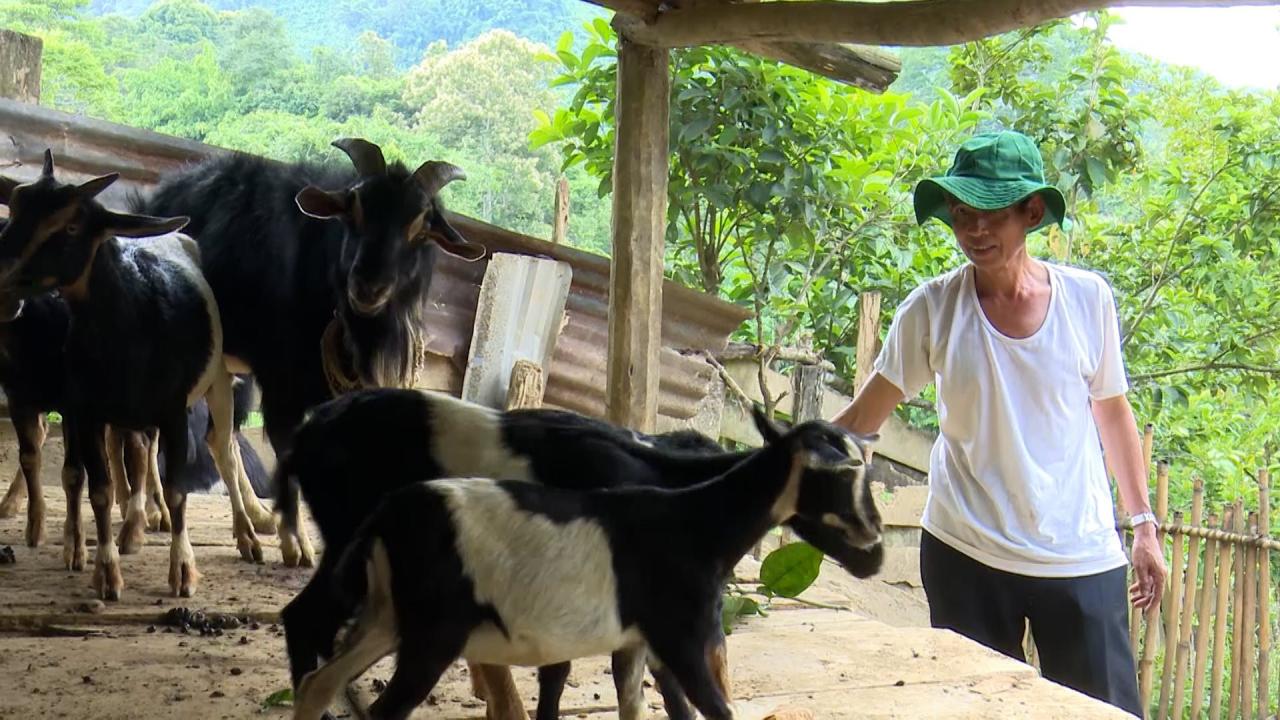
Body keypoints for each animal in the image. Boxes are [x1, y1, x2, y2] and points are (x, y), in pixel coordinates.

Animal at [0, 154, 268, 597]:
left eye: (71, 226)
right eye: (17, 207)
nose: (3, 287)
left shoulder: (174, 411)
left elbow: (177, 490)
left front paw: (183, 570)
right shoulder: (86, 410)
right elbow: (99, 487)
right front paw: (106, 571)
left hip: (215, 385)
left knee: (224, 453)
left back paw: (248, 535)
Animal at [133, 140, 483, 566]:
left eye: (420, 226)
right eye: (354, 210)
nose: (368, 287)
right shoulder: (281, 386)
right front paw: (296, 544)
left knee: (220, 439)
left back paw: (253, 521)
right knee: (159, 431)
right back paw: (158, 512)